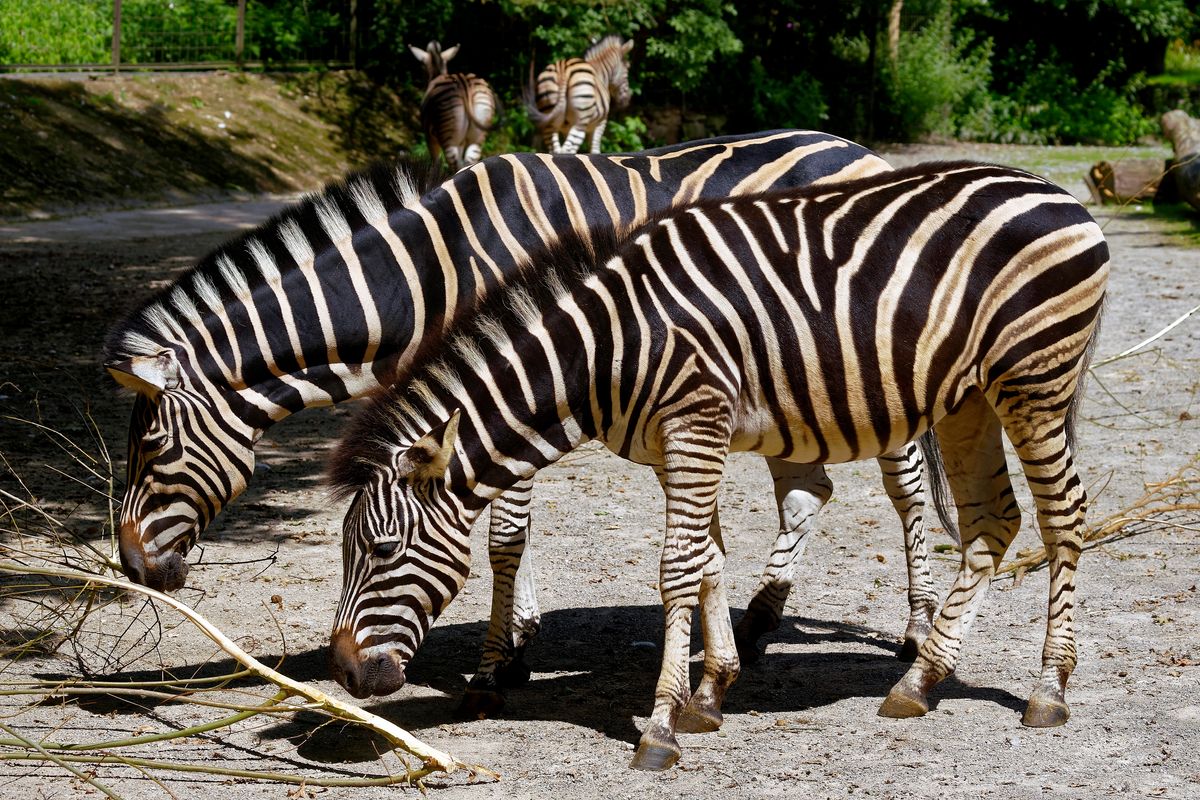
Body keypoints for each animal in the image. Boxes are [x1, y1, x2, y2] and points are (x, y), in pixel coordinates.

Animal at [100, 130, 926, 714]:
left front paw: (494, 667)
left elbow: (505, 536)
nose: (133, 568)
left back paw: (915, 635)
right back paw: (759, 623)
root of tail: (854, 146)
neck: (426, 277)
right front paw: (520, 643)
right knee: (810, 490)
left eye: (153, 446)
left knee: (907, 488)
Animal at [326, 160, 1104, 767]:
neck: (604, 349)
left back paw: (1048, 689)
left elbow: (677, 567)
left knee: (1063, 516)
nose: (345, 672)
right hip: (970, 396)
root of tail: (1056, 192)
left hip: (1035, 380)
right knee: (991, 524)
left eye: (384, 549)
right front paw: (709, 693)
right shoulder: (673, 445)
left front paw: (661, 727)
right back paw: (920, 681)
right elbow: (707, 561)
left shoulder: (695, 425)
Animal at [405, 39, 494, 171]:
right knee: (468, 162)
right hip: (476, 137)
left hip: (449, 139)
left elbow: (435, 163)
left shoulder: (429, 138)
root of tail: (465, 85)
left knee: (455, 165)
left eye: (421, 68)